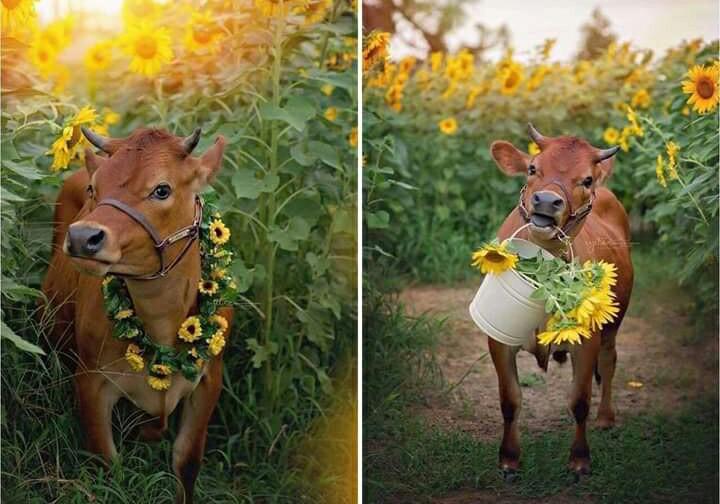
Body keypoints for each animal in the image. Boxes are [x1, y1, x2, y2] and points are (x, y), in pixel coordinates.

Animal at [40, 127, 231, 504]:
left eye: (162, 189)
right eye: (94, 188)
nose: (82, 236)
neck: (161, 326)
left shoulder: (209, 379)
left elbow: (187, 462)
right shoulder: (90, 378)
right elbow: (106, 464)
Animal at [486, 124, 632, 478]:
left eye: (587, 180)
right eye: (532, 168)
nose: (547, 201)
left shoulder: (588, 339)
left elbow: (579, 400)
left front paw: (579, 459)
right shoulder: (498, 338)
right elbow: (510, 400)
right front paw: (509, 458)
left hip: (614, 321)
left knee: (609, 362)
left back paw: (606, 417)